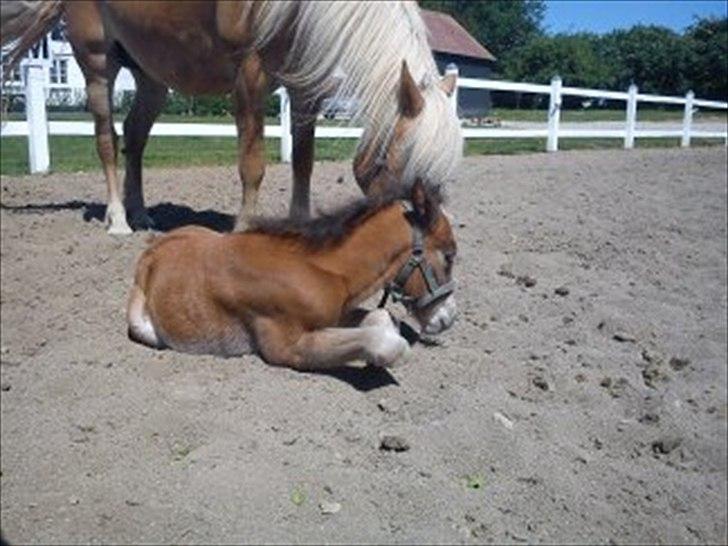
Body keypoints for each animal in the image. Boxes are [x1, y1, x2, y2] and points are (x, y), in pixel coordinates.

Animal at [1, 0, 460, 234]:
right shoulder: (249, 81)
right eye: (401, 167)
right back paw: (118, 221)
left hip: (151, 77)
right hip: (99, 67)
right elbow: (252, 166)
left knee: (135, 137)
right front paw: (244, 228)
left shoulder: (305, 89)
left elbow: (304, 164)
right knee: (106, 142)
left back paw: (142, 214)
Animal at [125, 180, 456, 370]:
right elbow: (385, 342)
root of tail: (153, 248)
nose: (447, 318)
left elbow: (383, 317)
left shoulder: (334, 314)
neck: (318, 268)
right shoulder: (286, 347)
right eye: (450, 255)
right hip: (142, 325)